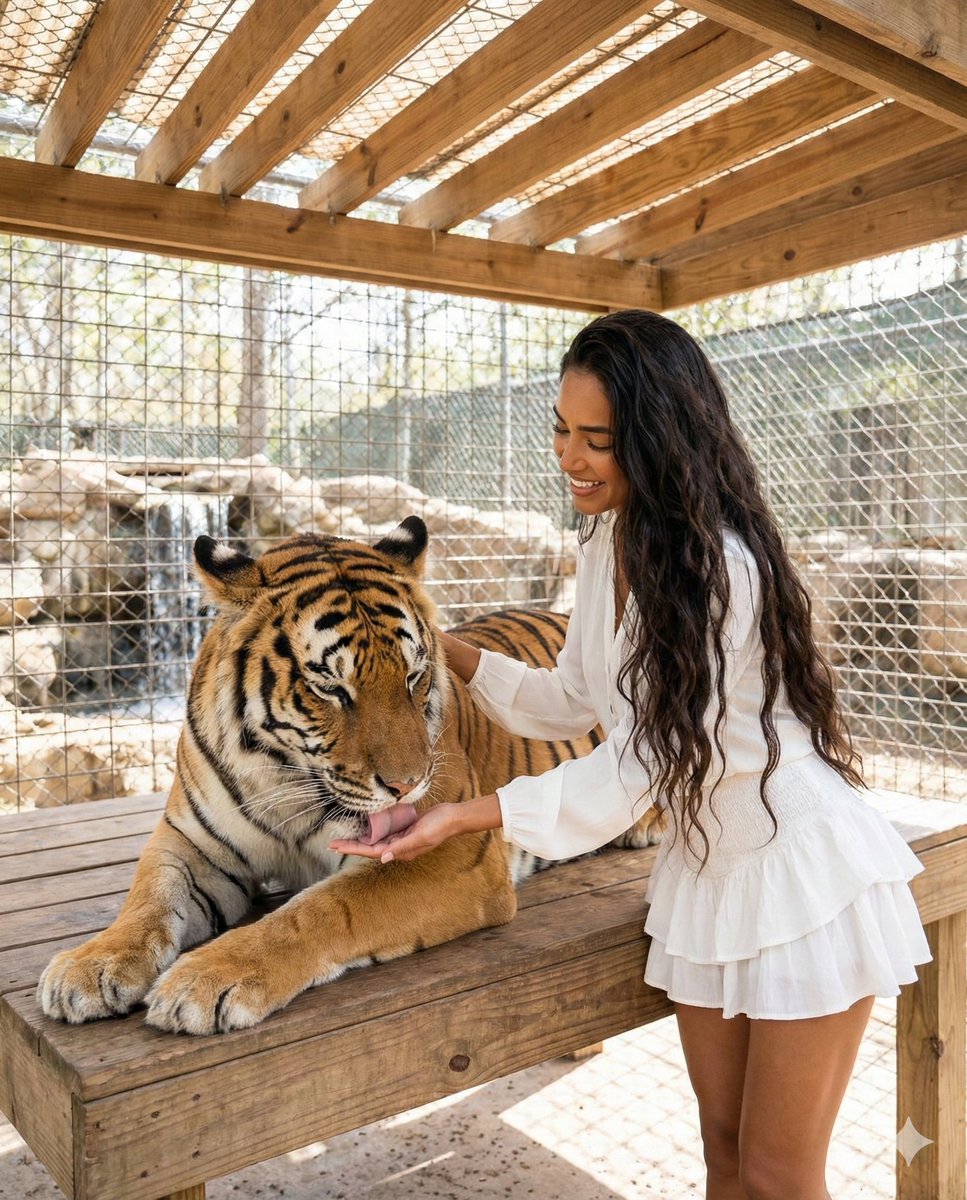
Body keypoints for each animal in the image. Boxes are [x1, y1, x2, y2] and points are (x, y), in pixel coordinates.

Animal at [39, 516, 661, 1035]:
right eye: (331, 688)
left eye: (413, 677)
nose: (409, 784)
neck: (284, 777)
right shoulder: (191, 841)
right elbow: (149, 896)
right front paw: (89, 966)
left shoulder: (451, 856)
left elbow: (322, 909)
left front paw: (204, 979)